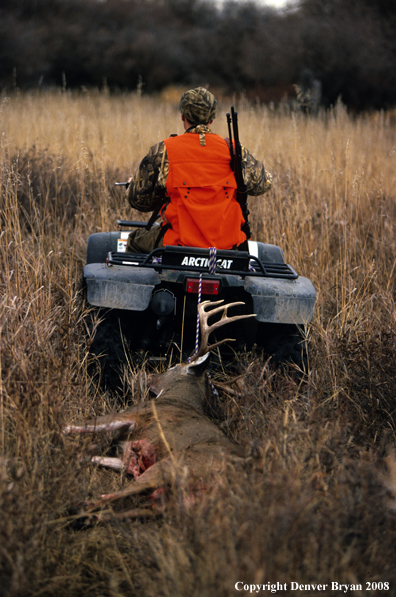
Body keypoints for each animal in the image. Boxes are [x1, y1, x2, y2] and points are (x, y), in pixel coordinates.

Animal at [62, 300, 254, 516]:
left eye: (172, 367)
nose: (151, 377)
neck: (178, 398)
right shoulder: (124, 458)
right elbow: (88, 455)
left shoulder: (132, 415)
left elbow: (77, 425)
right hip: (170, 501)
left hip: (177, 463)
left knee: (119, 494)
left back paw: (79, 507)